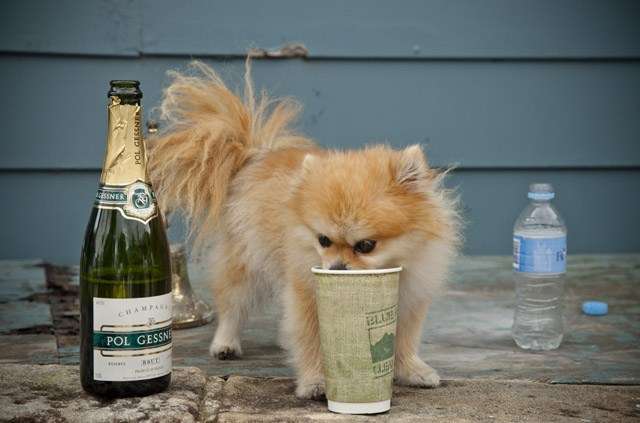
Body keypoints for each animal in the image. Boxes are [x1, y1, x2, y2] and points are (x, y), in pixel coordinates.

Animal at [149, 60, 460, 400]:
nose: (336, 268)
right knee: (233, 303)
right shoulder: (306, 293)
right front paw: (315, 382)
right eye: (323, 240)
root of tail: (256, 157)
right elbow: (310, 340)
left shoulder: (410, 297)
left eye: (366, 245)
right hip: (245, 262)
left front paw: (412, 370)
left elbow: (403, 339)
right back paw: (225, 343)